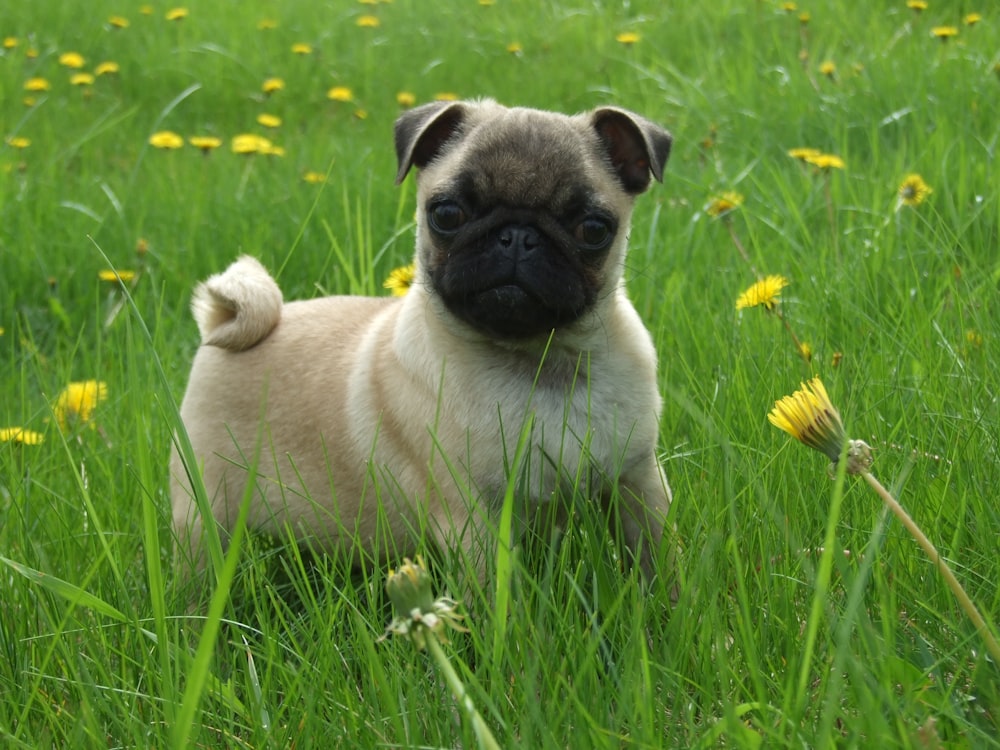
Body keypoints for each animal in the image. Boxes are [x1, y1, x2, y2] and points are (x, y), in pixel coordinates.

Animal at [170, 98, 672, 588]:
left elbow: (659, 563)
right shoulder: (473, 522)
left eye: (594, 228)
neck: (539, 361)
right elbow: (496, 600)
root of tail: (225, 322)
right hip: (202, 513)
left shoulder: (639, 484)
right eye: (446, 214)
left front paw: (663, 607)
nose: (518, 236)